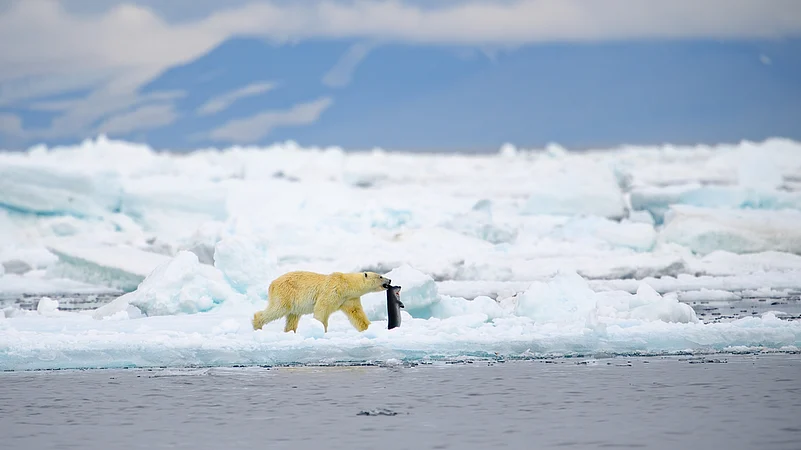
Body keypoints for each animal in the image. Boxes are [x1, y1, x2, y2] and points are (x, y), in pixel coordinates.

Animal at [251, 270, 391, 333]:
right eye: (380, 276)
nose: (389, 280)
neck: (346, 284)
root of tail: (272, 284)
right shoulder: (333, 290)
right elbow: (322, 309)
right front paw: (321, 330)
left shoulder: (349, 298)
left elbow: (357, 314)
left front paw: (369, 328)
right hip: (285, 293)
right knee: (278, 309)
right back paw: (257, 325)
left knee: (292, 317)